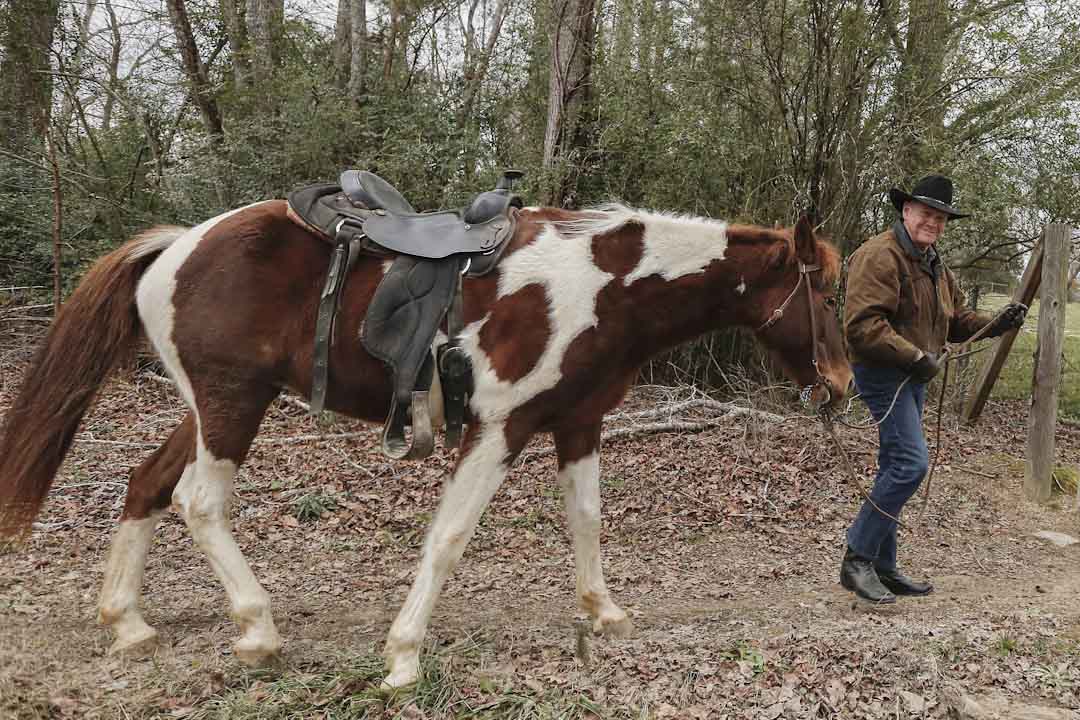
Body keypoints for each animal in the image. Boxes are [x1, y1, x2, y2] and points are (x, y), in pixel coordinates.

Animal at [0, 197, 851, 686]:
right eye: (828, 296)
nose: (843, 384)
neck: (601, 287)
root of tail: (178, 245)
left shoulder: (579, 423)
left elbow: (587, 521)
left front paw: (603, 611)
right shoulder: (502, 427)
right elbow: (448, 537)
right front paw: (405, 653)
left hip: (212, 407)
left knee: (145, 484)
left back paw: (128, 620)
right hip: (231, 407)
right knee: (198, 503)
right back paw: (258, 629)